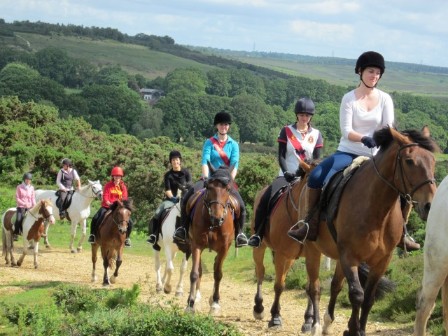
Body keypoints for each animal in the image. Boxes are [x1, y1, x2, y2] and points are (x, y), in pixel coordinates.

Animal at [186, 165, 236, 316]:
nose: (216, 217)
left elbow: (218, 274)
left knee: (215, 268)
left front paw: (215, 304)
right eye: (208, 187)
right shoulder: (196, 245)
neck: (212, 224)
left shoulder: (224, 248)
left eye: (228, 189)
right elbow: (195, 273)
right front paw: (190, 304)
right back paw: (196, 299)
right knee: (200, 270)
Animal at [302, 127, 436, 334]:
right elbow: (357, 295)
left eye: (433, 160)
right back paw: (314, 324)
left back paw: (327, 322)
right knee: (314, 287)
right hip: (313, 249)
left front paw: (358, 329)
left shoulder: (381, 260)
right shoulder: (350, 255)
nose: (429, 205)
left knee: (335, 286)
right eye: (409, 161)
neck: (376, 209)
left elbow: (368, 299)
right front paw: (352, 329)